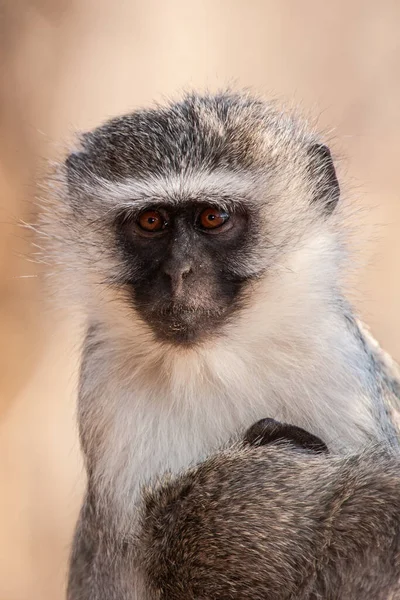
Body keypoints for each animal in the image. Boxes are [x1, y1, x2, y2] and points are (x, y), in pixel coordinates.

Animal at [39, 91, 400, 596]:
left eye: (214, 217)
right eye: (151, 221)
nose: (179, 272)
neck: (214, 359)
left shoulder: (340, 367)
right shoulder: (106, 392)